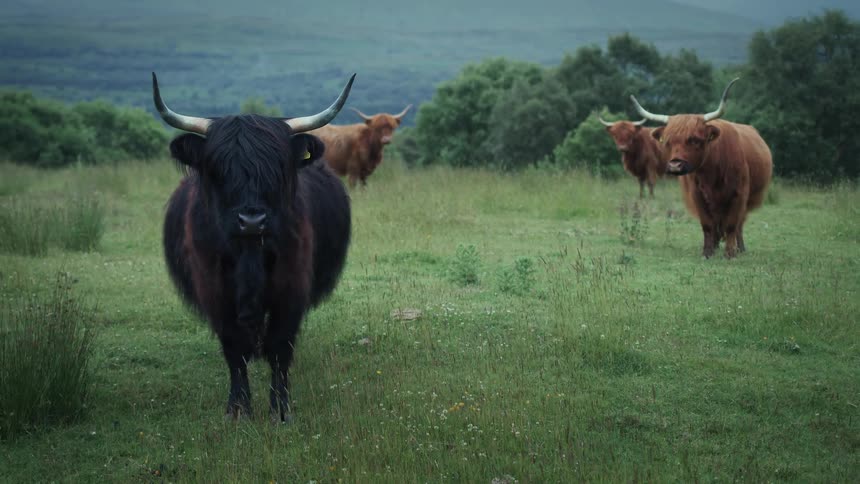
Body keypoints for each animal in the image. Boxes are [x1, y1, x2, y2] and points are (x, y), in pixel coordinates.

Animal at [153, 72, 355, 421]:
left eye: (277, 165)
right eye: (218, 167)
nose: (251, 220)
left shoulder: (291, 286)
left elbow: (280, 347)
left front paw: (280, 410)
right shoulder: (214, 289)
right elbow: (234, 348)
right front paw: (238, 409)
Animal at [630, 78, 773, 259]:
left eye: (695, 140)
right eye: (667, 141)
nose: (675, 165)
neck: (711, 173)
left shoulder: (739, 195)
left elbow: (732, 225)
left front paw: (730, 253)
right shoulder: (697, 195)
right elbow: (707, 225)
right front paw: (707, 252)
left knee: (739, 224)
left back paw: (740, 248)